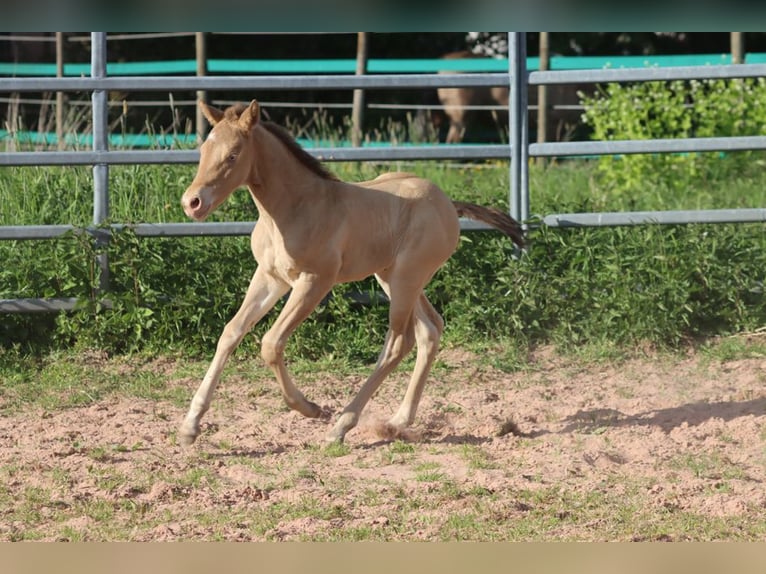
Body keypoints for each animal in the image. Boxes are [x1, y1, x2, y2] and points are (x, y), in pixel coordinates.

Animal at [178, 99, 525, 447]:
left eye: (233, 155)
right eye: (203, 150)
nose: (192, 202)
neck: (294, 208)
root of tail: (449, 205)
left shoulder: (315, 281)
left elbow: (271, 343)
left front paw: (310, 408)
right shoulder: (269, 277)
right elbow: (231, 332)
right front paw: (190, 425)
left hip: (406, 278)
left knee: (399, 342)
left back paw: (342, 425)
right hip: (392, 277)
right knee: (430, 329)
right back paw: (398, 420)